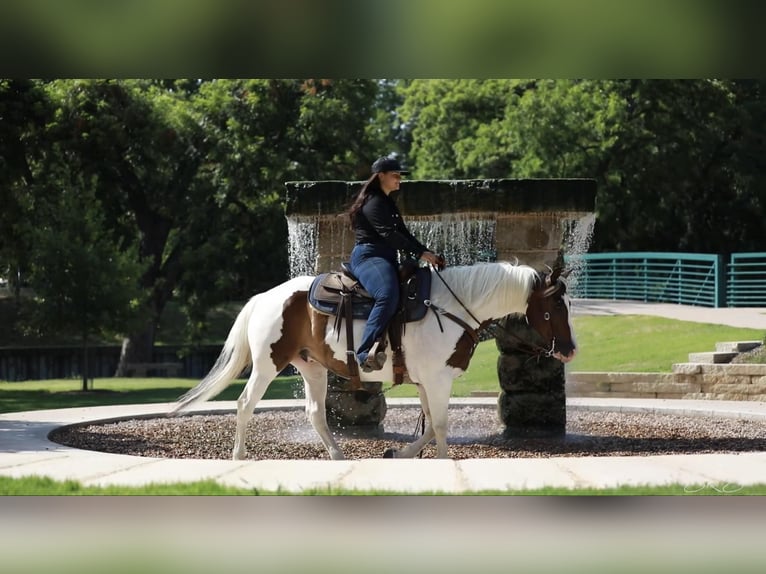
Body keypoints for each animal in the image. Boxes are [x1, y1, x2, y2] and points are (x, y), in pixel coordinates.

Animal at [170, 261, 577, 460]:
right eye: (556, 306)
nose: (570, 349)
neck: (450, 308)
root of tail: (264, 297)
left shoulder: (427, 381)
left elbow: (428, 427)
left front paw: (400, 452)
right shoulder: (438, 381)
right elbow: (440, 426)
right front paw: (442, 462)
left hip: (312, 368)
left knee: (315, 413)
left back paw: (337, 455)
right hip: (268, 365)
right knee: (244, 404)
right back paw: (238, 454)